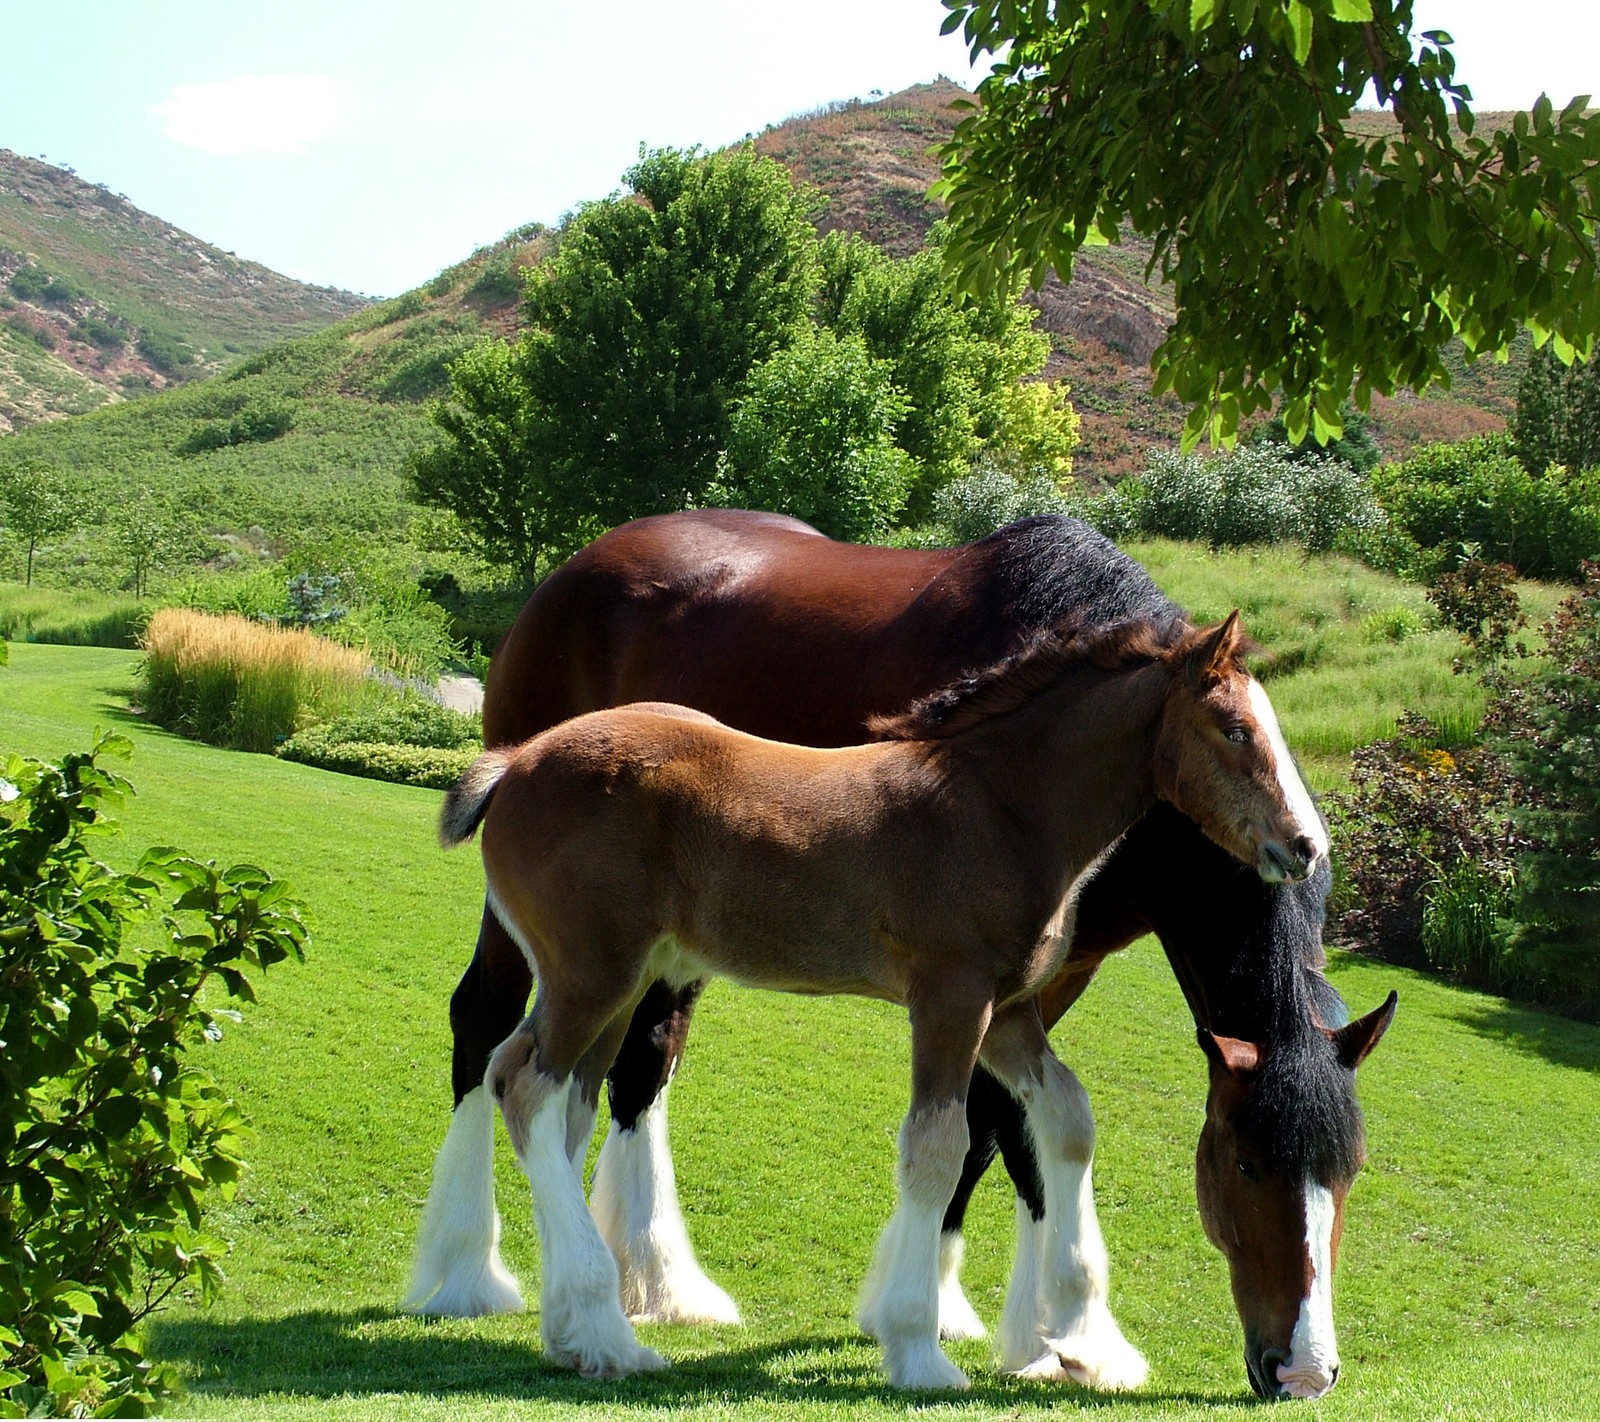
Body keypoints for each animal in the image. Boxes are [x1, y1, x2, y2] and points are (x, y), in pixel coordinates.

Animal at [438, 614, 1324, 1388]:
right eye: (1234, 730)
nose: (1307, 845)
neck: (1001, 811)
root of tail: (513, 764)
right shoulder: (949, 997)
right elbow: (937, 1146)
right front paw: (918, 1348)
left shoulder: (1008, 1012)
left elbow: (1067, 1118)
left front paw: (1080, 1343)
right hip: (592, 975)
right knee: (523, 1083)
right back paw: (601, 1332)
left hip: (615, 983)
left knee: (563, 1101)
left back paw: (573, 1329)